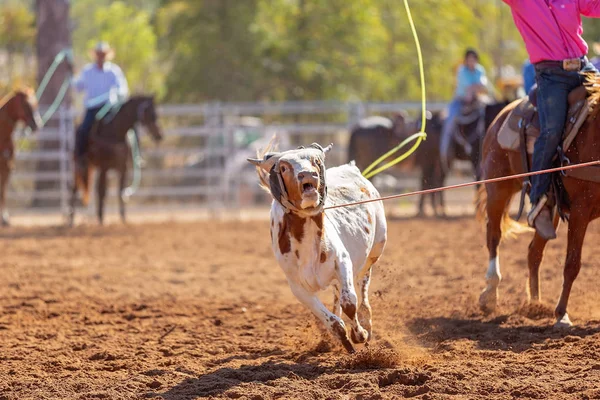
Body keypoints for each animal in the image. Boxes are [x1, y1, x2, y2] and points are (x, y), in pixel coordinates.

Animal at [0, 90, 42, 227]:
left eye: (36, 104)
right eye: (26, 104)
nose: (36, 125)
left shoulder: (7, 167)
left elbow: (3, 191)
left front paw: (4, 218)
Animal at [69, 94, 162, 225]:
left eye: (156, 113)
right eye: (149, 113)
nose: (159, 135)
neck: (115, 132)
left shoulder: (123, 168)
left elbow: (121, 191)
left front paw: (123, 218)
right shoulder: (104, 167)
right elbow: (102, 191)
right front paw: (101, 219)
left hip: (91, 167)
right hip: (78, 166)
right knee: (75, 188)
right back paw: (71, 219)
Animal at [476, 76, 600, 328]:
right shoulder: (581, 211)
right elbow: (572, 264)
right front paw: (561, 314)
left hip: (549, 211)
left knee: (534, 251)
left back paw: (535, 304)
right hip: (498, 188)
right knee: (493, 235)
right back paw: (490, 293)